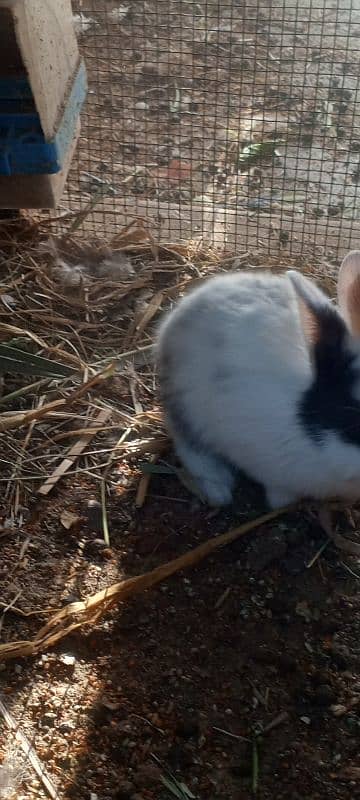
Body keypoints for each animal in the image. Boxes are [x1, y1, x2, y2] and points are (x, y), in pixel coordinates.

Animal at [157, 252, 360, 506]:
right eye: (353, 421)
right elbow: (279, 498)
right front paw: (281, 502)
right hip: (186, 409)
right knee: (189, 446)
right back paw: (219, 490)